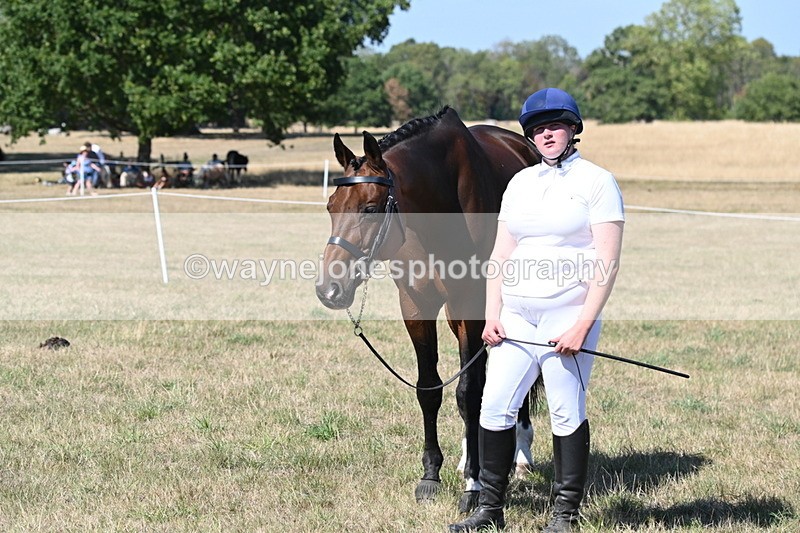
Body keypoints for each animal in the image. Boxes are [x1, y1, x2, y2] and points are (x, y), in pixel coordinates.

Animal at [316, 106, 541, 512]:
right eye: (330, 207)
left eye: (370, 209)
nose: (329, 289)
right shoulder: (416, 305)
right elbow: (430, 389)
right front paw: (431, 476)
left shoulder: (471, 302)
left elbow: (468, 391)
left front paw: (473, 486)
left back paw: (520, 455)